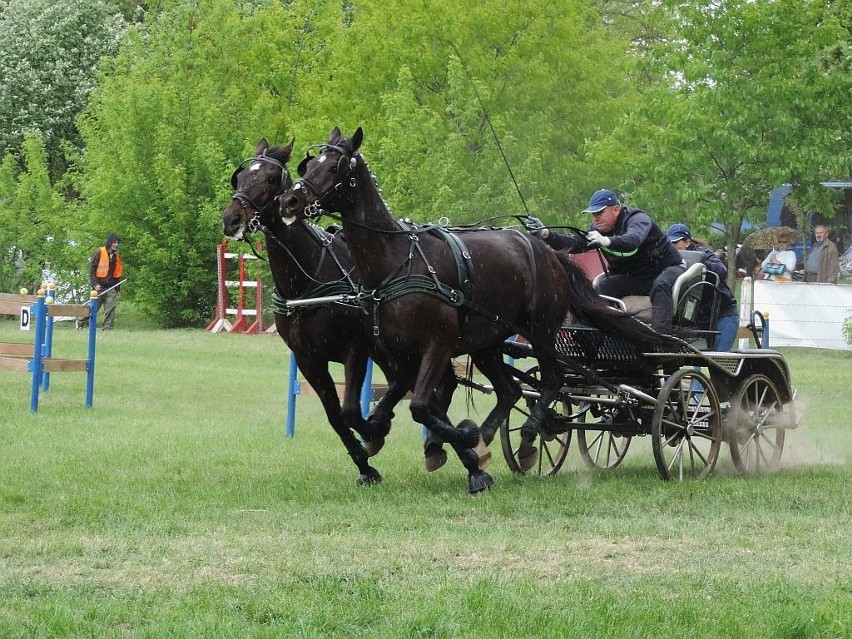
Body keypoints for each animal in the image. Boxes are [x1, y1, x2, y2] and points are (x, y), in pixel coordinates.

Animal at [221, 139, 480, 484]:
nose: (232, 219)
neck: (309, 278)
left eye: (271, 178)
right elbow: (335, 416)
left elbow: (350, 411)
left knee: (428, 388)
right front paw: (365, 465)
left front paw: (374, 432)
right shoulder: (308, 359)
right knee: (429, 387)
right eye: (239, 178)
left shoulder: (355, 349)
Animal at [278, 126, 664, 496]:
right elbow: (378, 405)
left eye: (334, 167)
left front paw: (463, 444)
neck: (397, 260)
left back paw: (527, 440)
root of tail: (546, 251)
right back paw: (488, 435)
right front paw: (398, 434)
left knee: (551, 381)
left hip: (540, 332)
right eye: (308, 166)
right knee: (510, 391)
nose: (290, 200)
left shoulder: (436, 346)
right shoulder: (395, 350)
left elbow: (419, 406)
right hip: (487, 342)